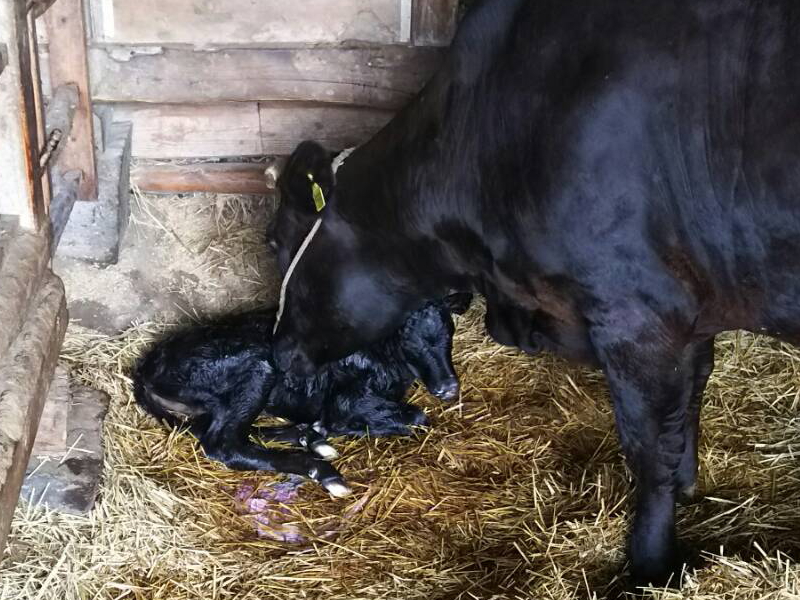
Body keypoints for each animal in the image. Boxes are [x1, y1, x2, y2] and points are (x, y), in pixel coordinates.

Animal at [130, 298, 460, 496]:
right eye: (407, 337)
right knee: (223, 442)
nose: (448, 387)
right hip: (256, 367)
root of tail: (147, 367)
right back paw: (324, 470)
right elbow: (416, 416)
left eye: (449, 331)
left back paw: (312, 439)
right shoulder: (348, 399)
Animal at [272, 0, 800, 588]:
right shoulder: (692, 314)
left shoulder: (636, 317)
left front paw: (650, 564)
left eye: (276, 241)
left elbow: (649, 447)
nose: (276, 350)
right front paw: (687, 485)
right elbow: (691, 397)